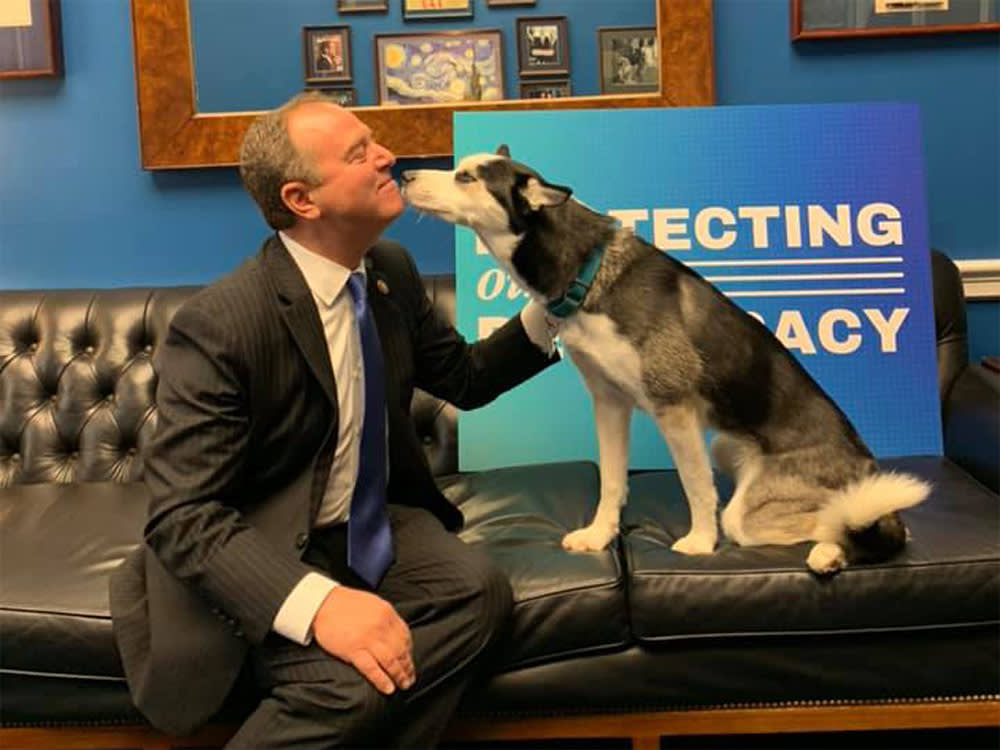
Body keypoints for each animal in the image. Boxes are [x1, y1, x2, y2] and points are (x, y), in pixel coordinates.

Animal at [398, 150, 928, 580]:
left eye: (466, 177)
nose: (404, 175)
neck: (586, 272)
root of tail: (866, 464)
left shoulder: (674, 408)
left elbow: (696, 487)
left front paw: (700, 542)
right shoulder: (609, 402)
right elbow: (612, 481)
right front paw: (599, 534)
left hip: (765, 500)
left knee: (850, 520)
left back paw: (829, 552)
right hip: (725, 448)